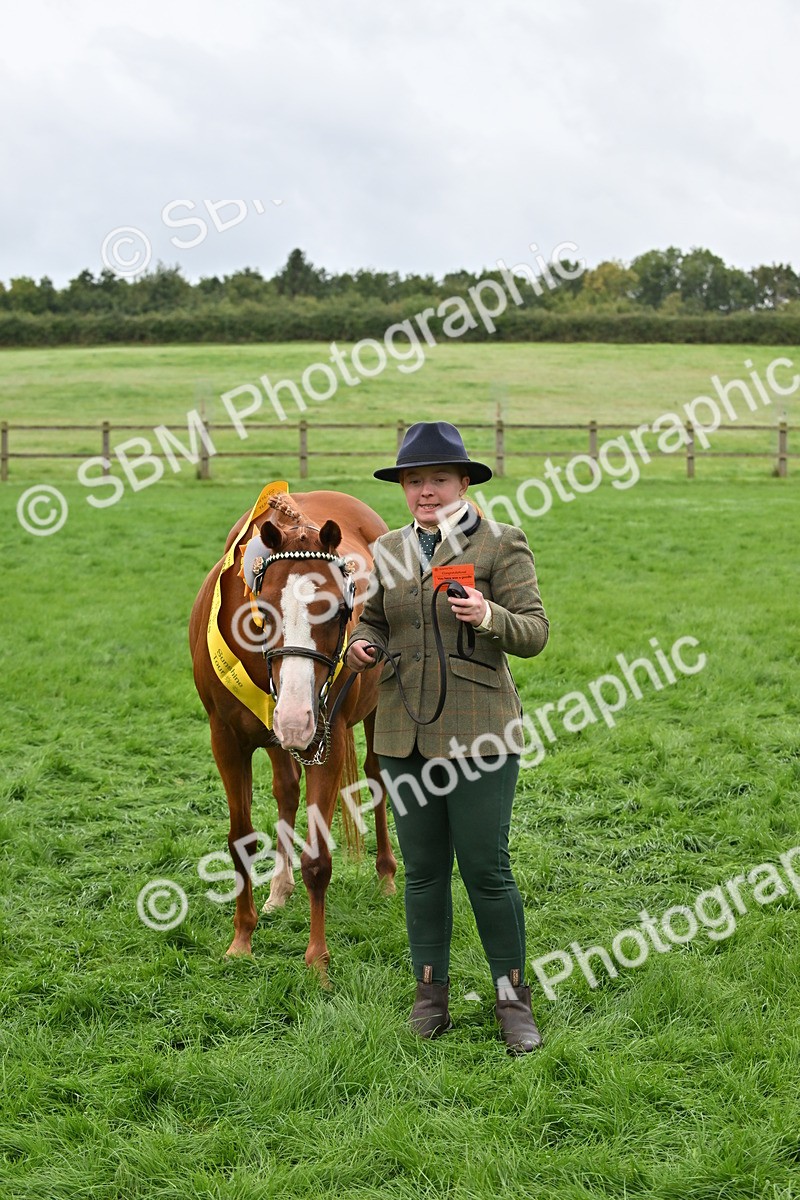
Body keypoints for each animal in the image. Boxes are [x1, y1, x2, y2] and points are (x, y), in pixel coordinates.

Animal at [189, 487, 397, 975]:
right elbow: (241, 841)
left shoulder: (328, 739)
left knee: (376, 776)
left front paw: (317, 961)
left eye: (340, 610)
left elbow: (318, 860)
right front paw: (241, 939)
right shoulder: (227, 740)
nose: (296, 716)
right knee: (286, 787)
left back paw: (386, 876)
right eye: (262, 612)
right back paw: (278, 890)